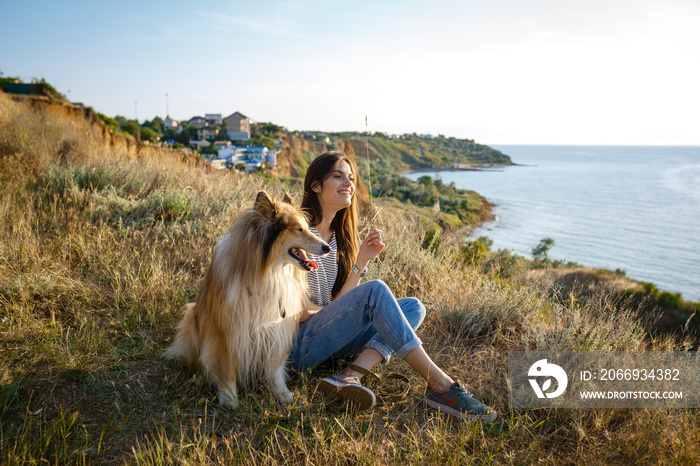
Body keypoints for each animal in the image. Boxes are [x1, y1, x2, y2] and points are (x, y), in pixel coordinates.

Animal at [165, 189, 330, 408]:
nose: (328, 248)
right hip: (193, 317)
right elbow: (226, 367)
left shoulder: (277, 327)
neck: (266, 273)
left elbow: (275, 367)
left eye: (307, 227)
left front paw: (281, 392)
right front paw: (229, 397)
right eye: (299, 229)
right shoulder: (227, 330)